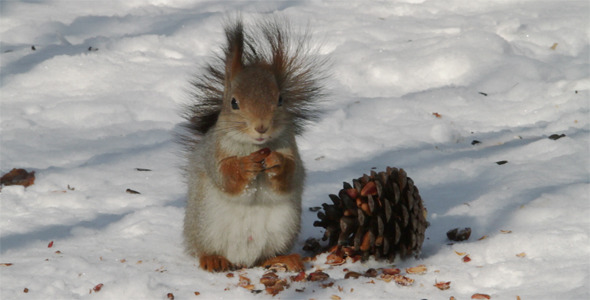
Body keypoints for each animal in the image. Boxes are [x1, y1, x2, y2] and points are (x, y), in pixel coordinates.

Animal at [180, 17, 328, 274]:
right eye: (234, 103)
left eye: (280, 99)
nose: (261, 127)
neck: (253, 147)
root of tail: (242, 260)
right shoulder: (213, 153)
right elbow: (225, 176)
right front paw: (243, 166)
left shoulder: (290, 147)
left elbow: (293, 173)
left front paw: (277, 163)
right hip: (204, 225)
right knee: (205, 249)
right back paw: (213, 259)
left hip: (283, 228)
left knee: (264, 258)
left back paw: (283, 259)